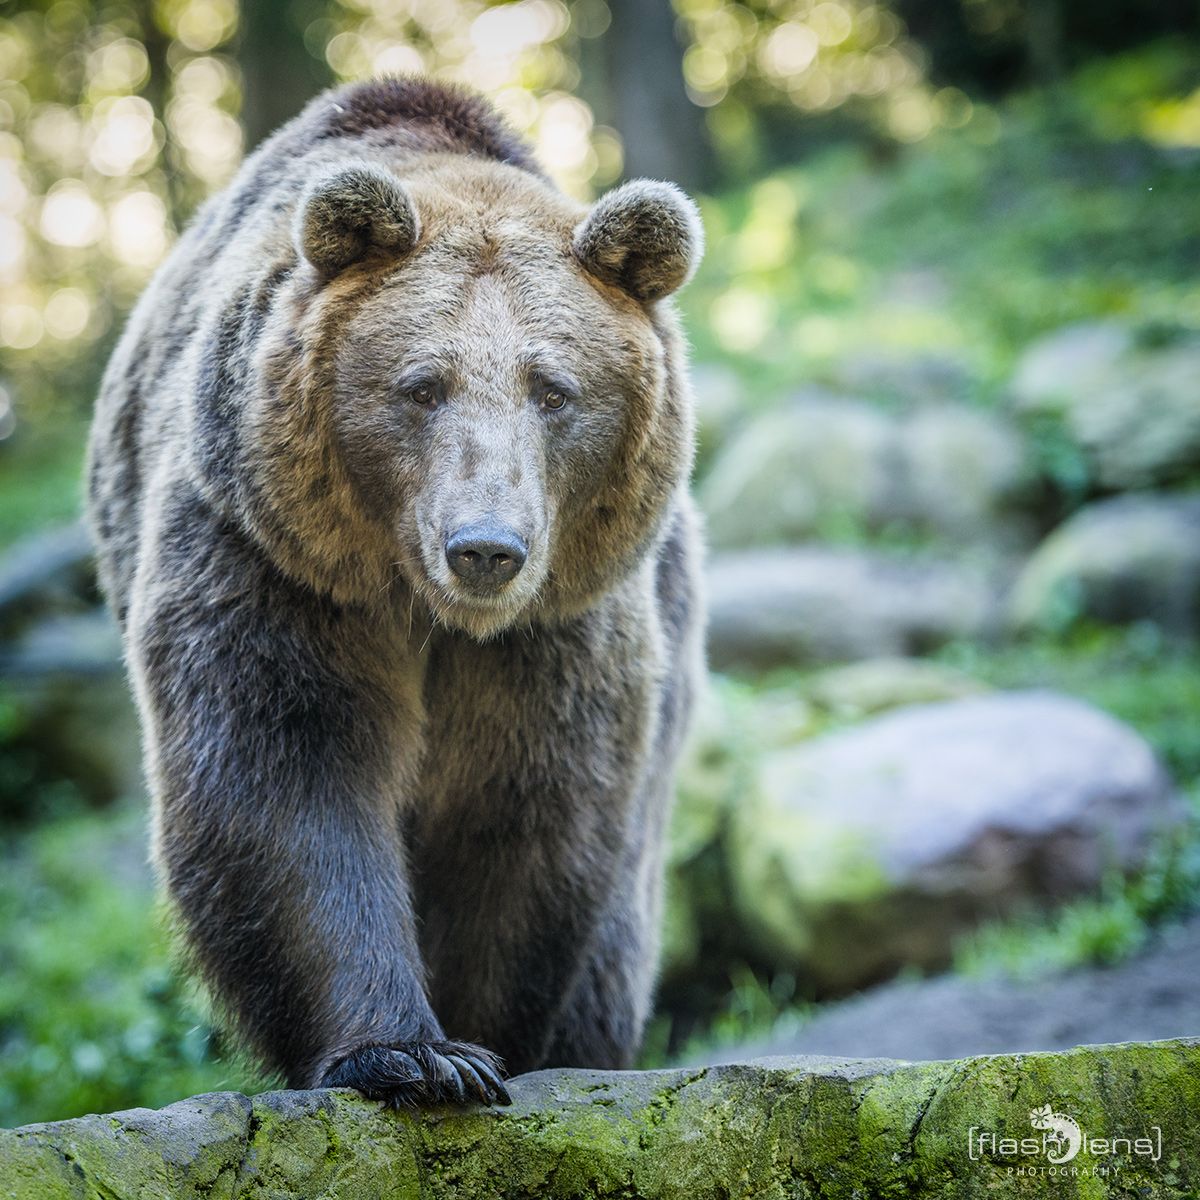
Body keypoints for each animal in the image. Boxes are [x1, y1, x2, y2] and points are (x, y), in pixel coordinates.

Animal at [87, 75, 700, 1104]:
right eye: (422, 386)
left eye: (553, 389)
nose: (485, 548)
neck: (426, 609)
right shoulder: (275, 562)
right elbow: (287, 776)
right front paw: (412, 1055)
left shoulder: (561, 626)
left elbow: (525, 814)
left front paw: (487, 1043)